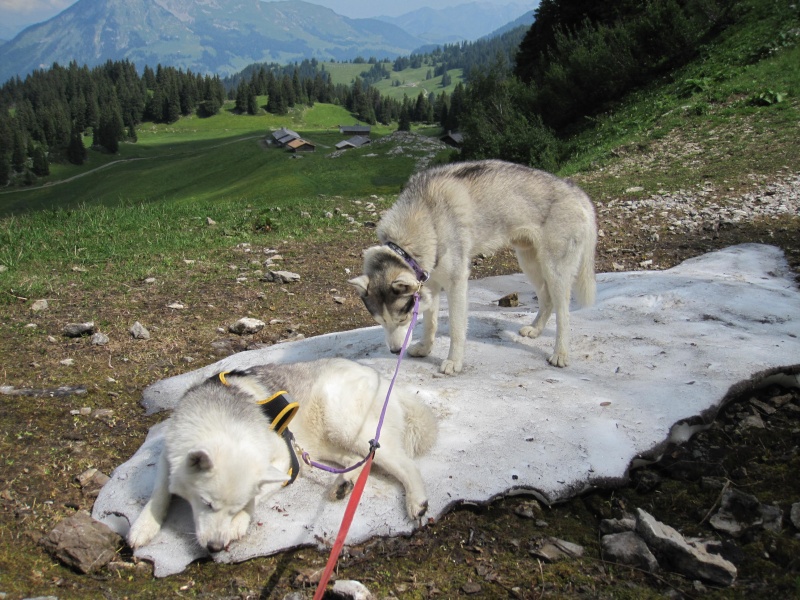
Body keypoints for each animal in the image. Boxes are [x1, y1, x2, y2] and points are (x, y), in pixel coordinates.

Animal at [128, 356, 438, 552]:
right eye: (206, 503)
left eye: (235, 507)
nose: (215, 548)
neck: (220, 422)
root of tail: (385, 380)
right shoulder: (169, 454)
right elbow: (160, 491)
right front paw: (144, 526)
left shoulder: (285, 461)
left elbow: (258, 494)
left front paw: (239, 522)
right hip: (325, 441)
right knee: (357, 462)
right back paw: (343, 485)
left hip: (350, 428)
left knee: (405, 465)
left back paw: (416, 502)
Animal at [346, 161, 596, 376]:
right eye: (381, 322)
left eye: (402, 320)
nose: (395, 351)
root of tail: (576, 192)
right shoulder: (430, 283)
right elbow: (429, 321)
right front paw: (425, 348)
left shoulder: (456, 283)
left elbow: (456, 329)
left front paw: (453, 362)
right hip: (529, 262)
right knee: (547, 299)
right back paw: (535, 330)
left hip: (555, 270)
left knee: (563, 313)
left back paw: (560, 353)